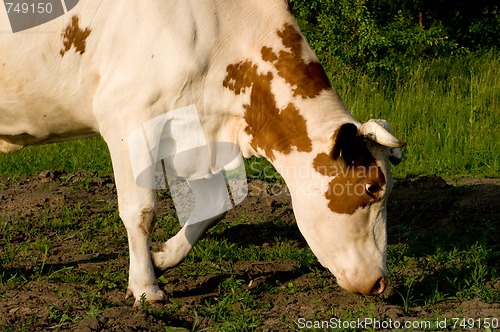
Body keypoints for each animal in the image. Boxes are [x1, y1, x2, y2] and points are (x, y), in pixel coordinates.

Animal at [0, 0, 404, 306]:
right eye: (372, 188)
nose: (381, 283)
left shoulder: (196, 132)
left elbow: (216, 206)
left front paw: (163, 258)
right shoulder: (128, 117)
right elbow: (140, 211)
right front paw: (146, 287)